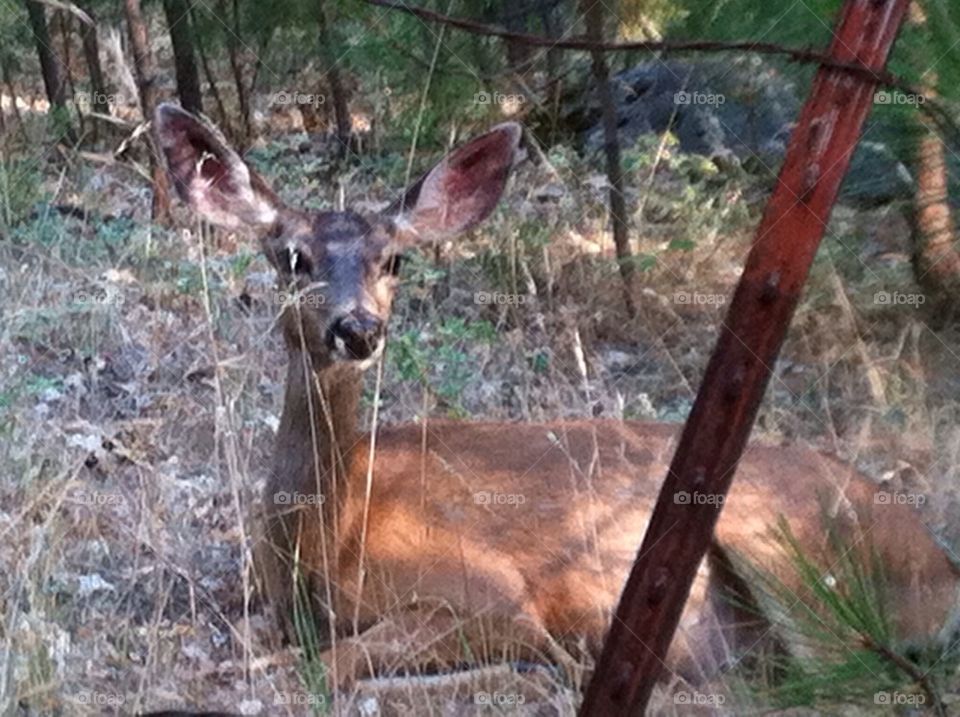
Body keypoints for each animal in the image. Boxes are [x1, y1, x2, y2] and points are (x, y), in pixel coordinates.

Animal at [154, 102, 960, 694]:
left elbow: (334, 664)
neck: (330, 539)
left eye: (395, 260)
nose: (358, 328)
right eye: (292, 257)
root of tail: (941, 566)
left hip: (785, 543)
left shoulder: (491, 592)